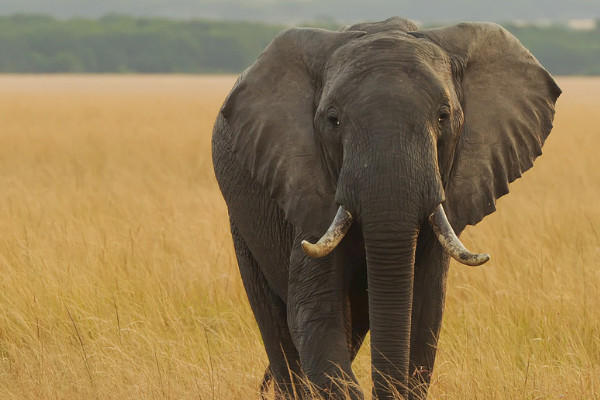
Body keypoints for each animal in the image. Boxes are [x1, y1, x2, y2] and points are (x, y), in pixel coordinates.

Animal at [213, 17, 560, 398]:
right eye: (333, 120)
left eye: (444, 116)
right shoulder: (306, 186)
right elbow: (316, 314)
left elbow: (423, 314)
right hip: (241, 219)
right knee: (277, 325)